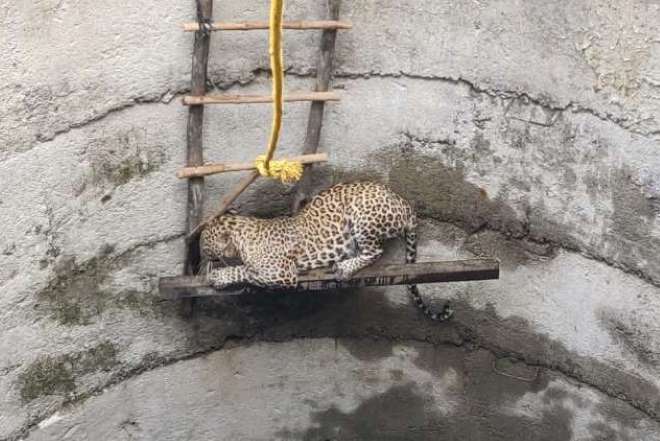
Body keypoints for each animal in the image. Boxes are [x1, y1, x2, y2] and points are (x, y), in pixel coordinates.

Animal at [200, 181, 453, 321]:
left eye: (203, 246)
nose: (201, 259)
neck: (245, 235)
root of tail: (405, 204)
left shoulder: (282, 274)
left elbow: (245, 270)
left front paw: (219, 276)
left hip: (363, 215)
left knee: (375, 252)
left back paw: (344, 267)